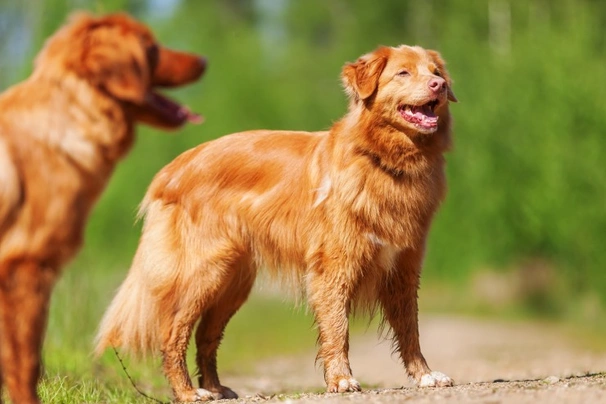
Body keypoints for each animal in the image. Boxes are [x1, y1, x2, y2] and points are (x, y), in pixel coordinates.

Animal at [97, 45, 460, 400]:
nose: (439, 86)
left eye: (436, 72)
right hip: (203, 272)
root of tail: (171, 169)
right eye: (403, 73)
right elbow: (338, 328)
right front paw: (341, 380)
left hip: (233, 282)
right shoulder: (334, 267)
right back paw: (188, 392)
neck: (385, 162)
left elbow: (410, 329)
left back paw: (215, 387)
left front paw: (425, 375)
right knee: (173, 333)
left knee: (206, 336)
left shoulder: (404, 267)